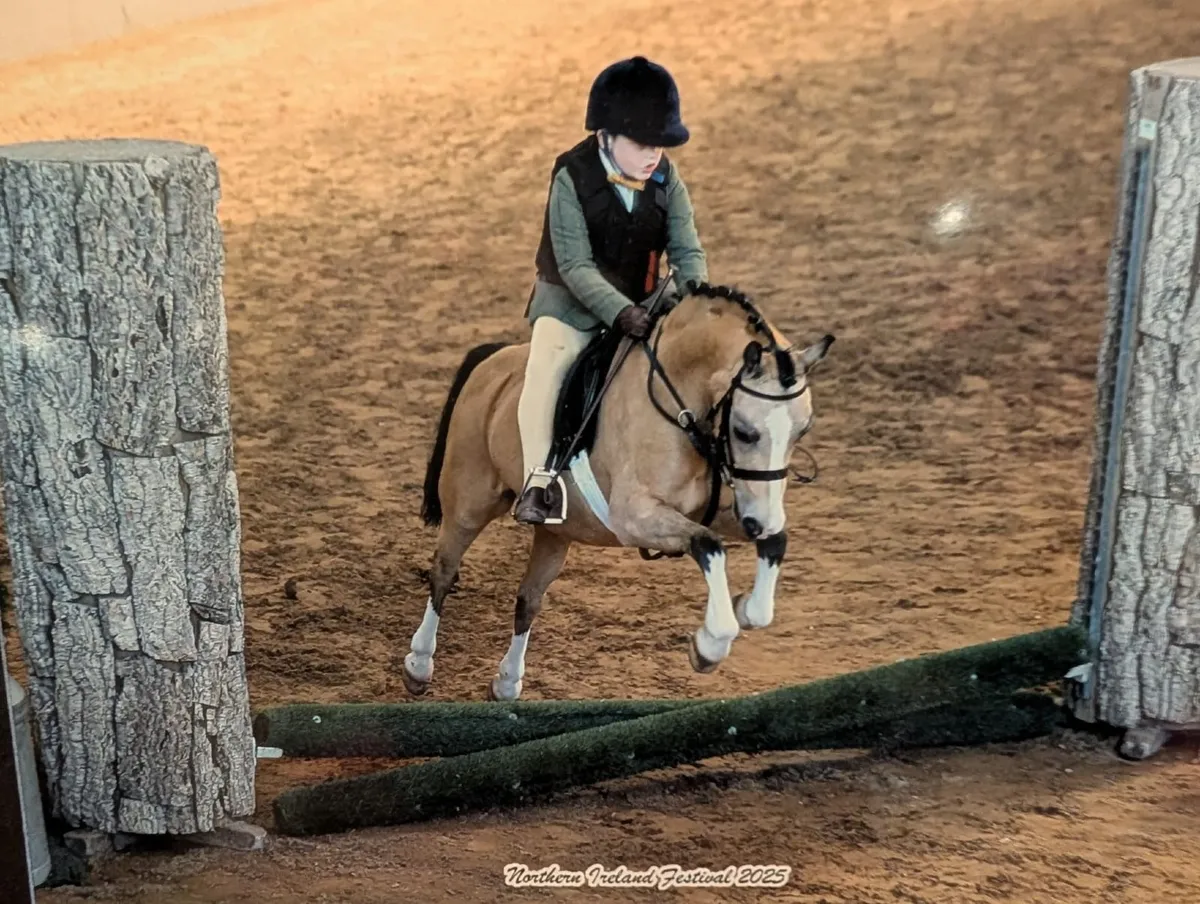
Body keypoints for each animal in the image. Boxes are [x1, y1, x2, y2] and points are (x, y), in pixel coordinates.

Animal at [404, 280, 834, 701]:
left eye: (803, 430)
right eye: (744, 431)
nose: (759, 521)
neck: (681, 407)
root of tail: (492, 361)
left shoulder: (722, 510)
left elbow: (773, 544)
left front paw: (745, 610)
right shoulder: (635, 517)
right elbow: (708, 544)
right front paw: (710, 644)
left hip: (556, 532)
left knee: (529, 598)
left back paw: (507, 683)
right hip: (469, 502)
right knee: (443, 571)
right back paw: (419, 665)